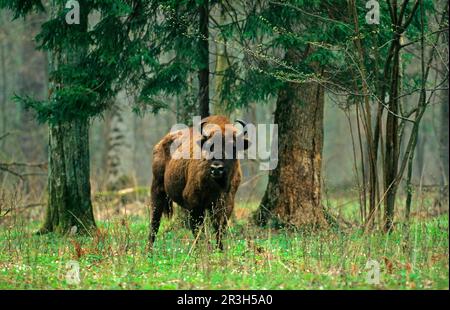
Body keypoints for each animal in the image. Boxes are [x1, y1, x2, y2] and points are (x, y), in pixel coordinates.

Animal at [149, 115, 251, 249]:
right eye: (210, 146)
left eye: (232, 146)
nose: (216, 168)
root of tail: (160, 144)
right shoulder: (194, 203)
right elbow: (198, 230)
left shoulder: (226, 203)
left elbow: (219, 228)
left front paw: (219, 249)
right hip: (157, 188)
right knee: (154, 222)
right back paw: (149, 250)